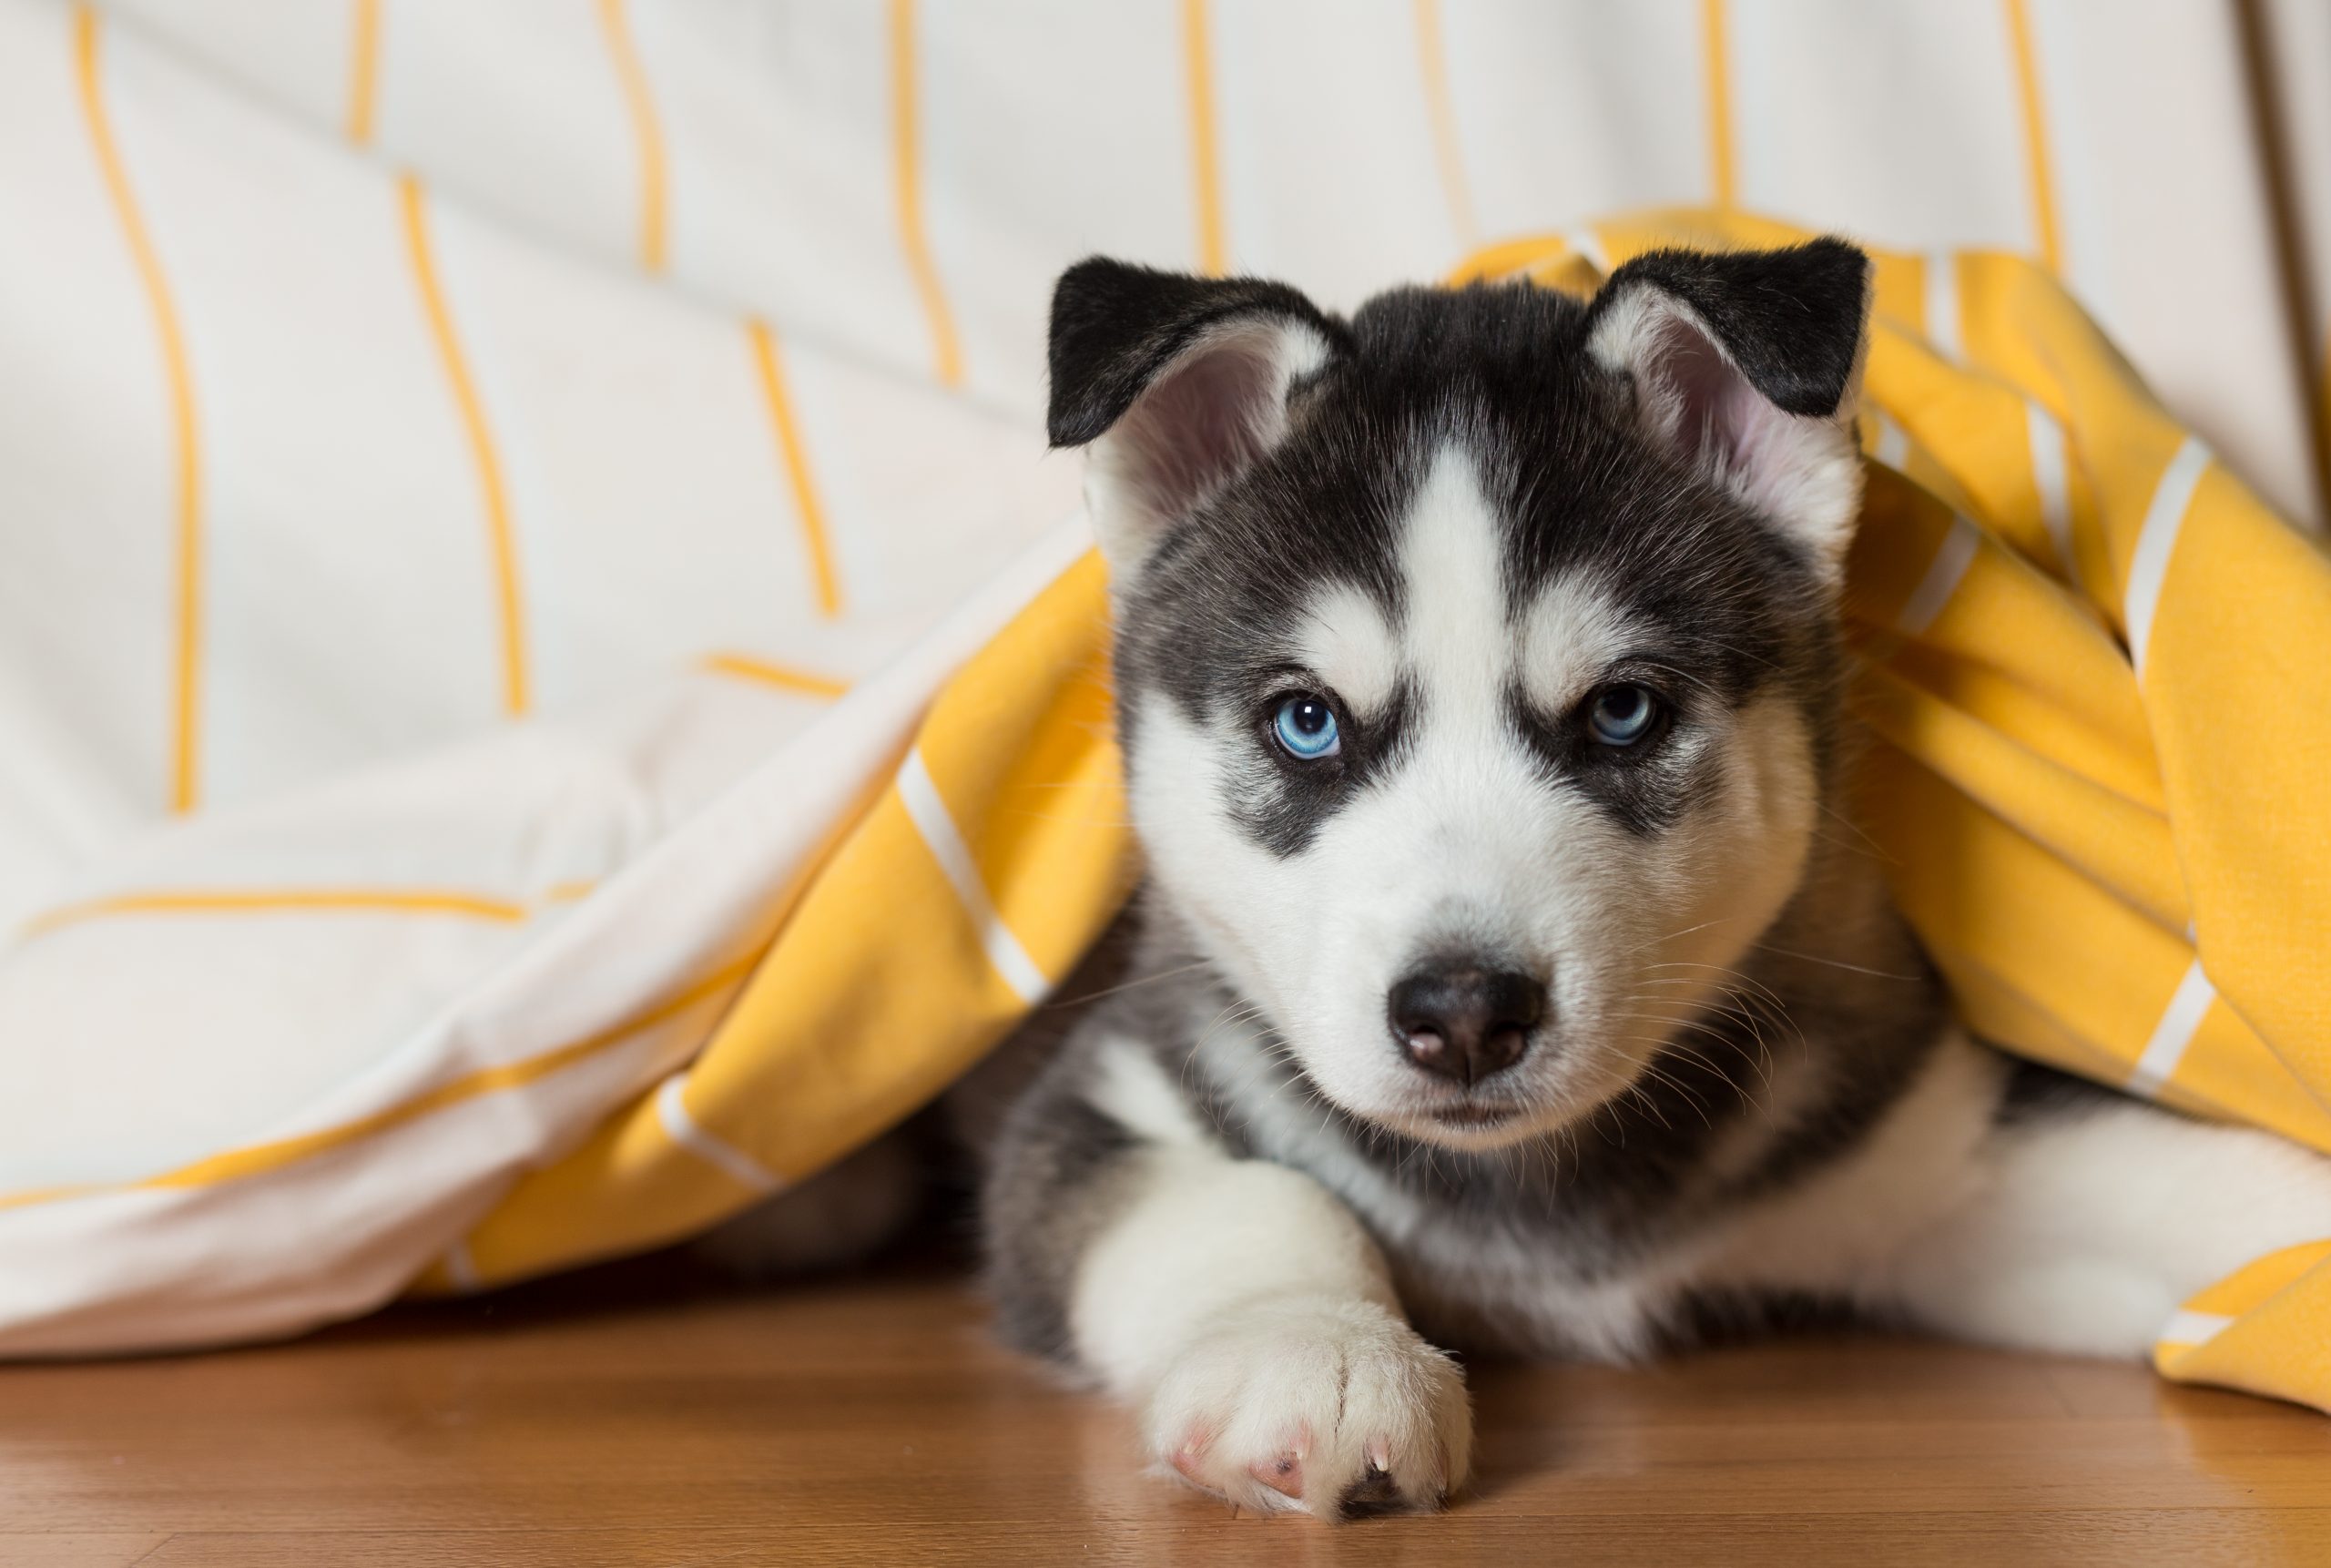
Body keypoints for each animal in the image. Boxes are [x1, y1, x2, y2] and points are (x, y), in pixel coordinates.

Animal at [974, 240, 2331, 1519]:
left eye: (1623, 712)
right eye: (1306, 722)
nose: (1464, 1012)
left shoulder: (1934, 1151)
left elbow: (2162, 1163)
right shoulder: (1110, 1086)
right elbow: (1251, 1195)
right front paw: (1317, 1348)